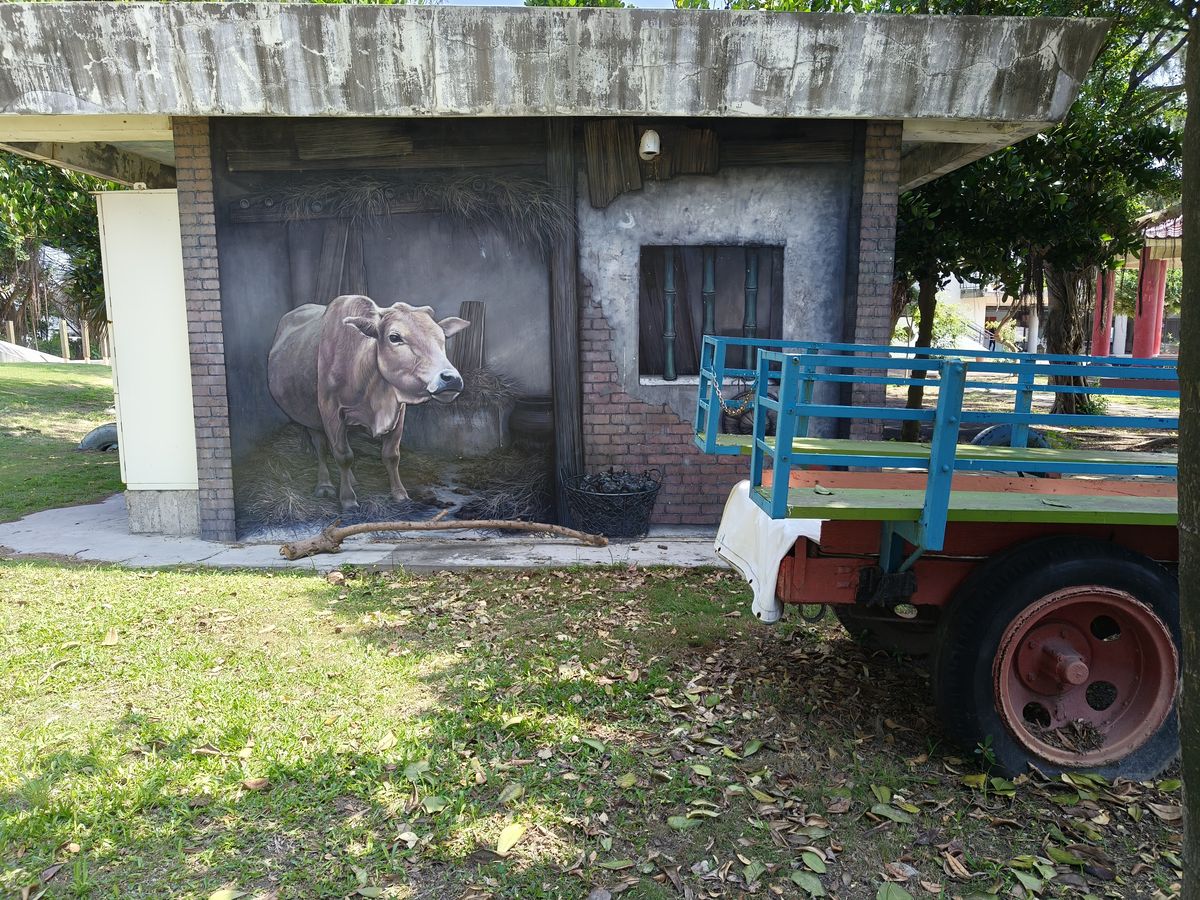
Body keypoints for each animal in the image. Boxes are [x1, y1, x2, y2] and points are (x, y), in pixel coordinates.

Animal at [268, 294, 470, 511]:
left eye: (442, 338)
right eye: (394, 337)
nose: (451, 378)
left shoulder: (399, 411)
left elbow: (391, 455)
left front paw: (400, 494)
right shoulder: (330, 410)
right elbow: (343, 455)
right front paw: (348, 499)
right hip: (310, 415)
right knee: (321, 448)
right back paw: (325, 485)